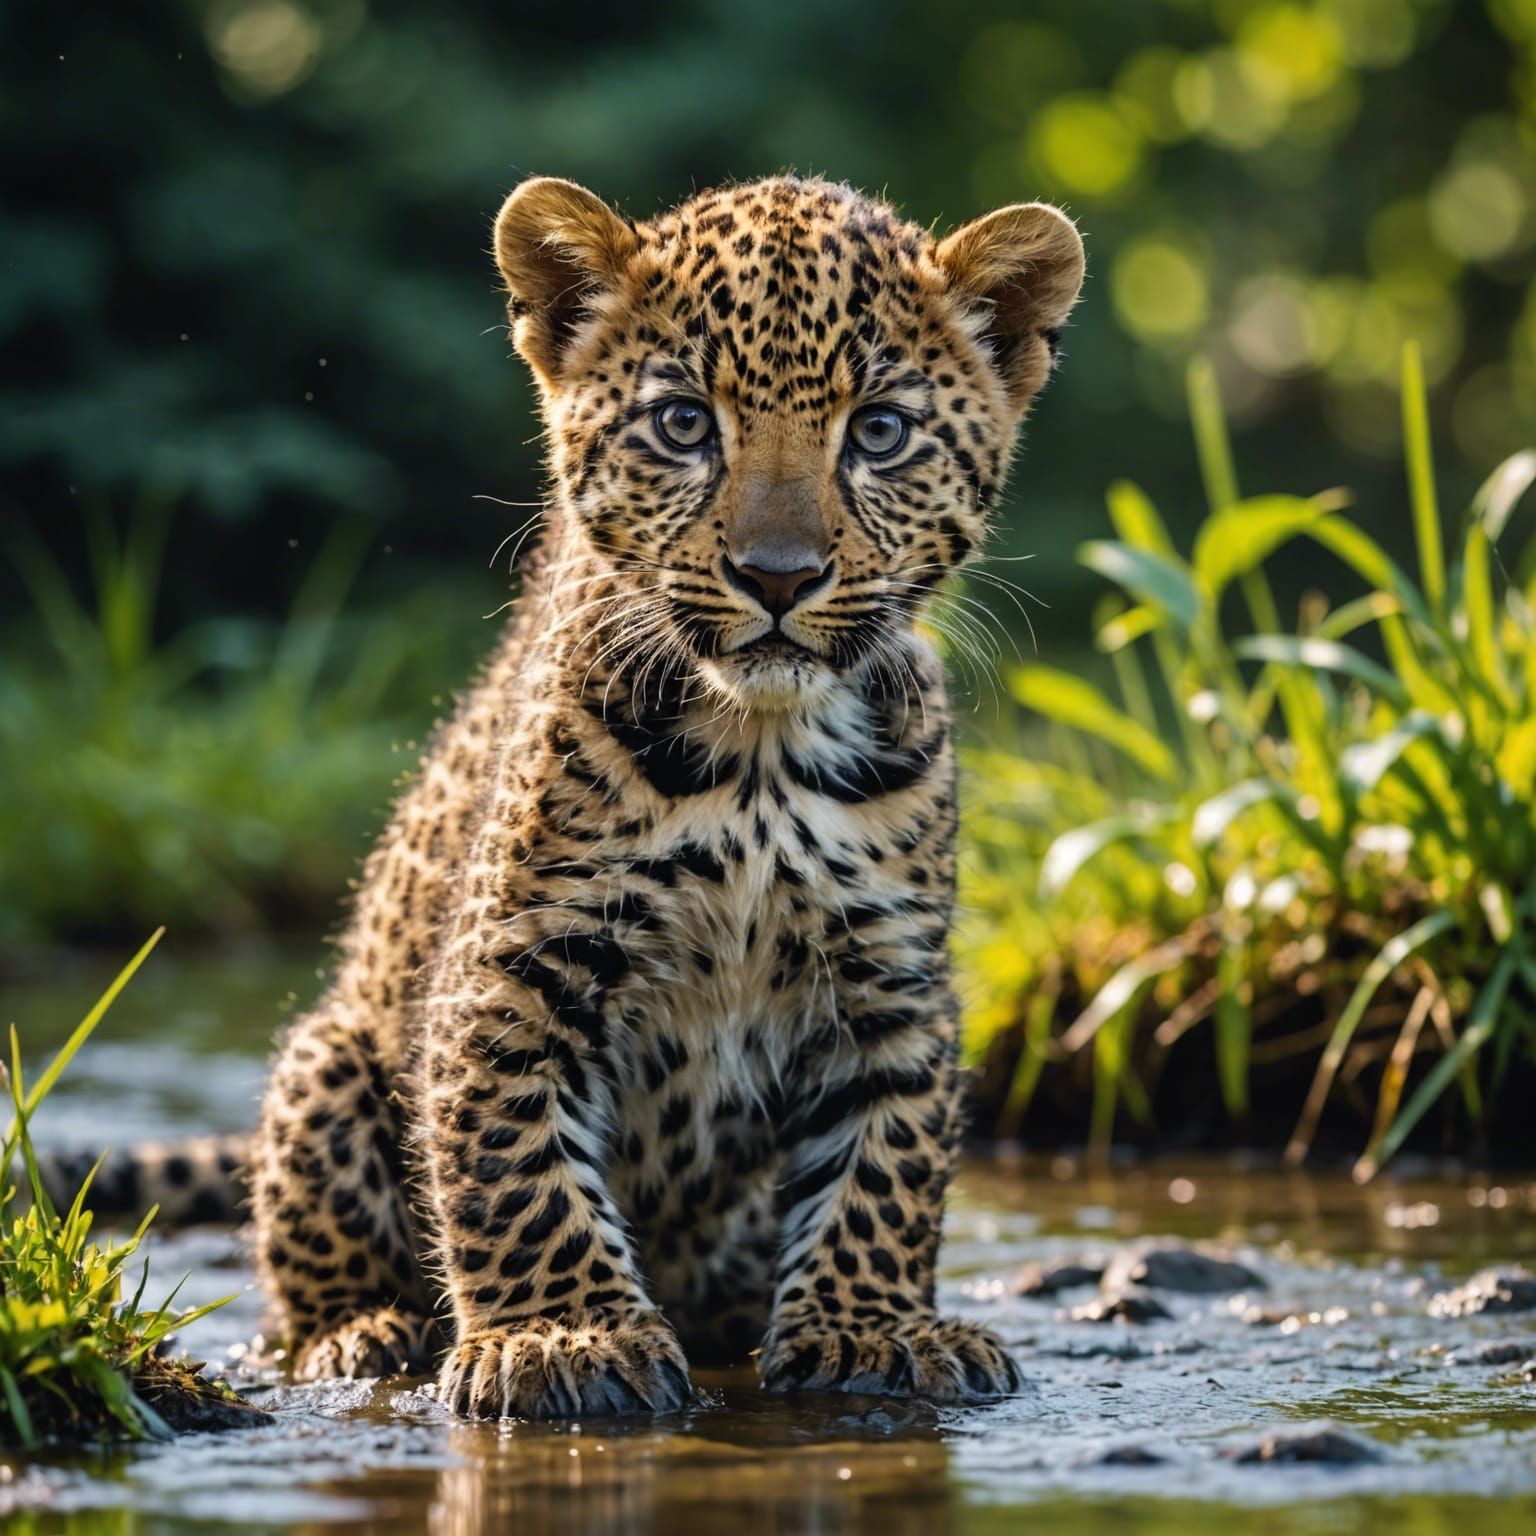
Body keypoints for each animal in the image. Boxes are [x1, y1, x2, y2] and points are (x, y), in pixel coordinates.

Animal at [69, 174, 1085, 1420]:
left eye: (880, 432)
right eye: (685, 424)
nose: (780, 576)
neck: (762, 759)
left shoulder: (889, 982)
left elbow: (887, 1167)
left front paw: (874, 1327)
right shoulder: (517, 967)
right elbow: (513, 1165)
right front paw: (563, 1337)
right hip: (325, 1059)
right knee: (304, 1265)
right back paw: (364, 1331)